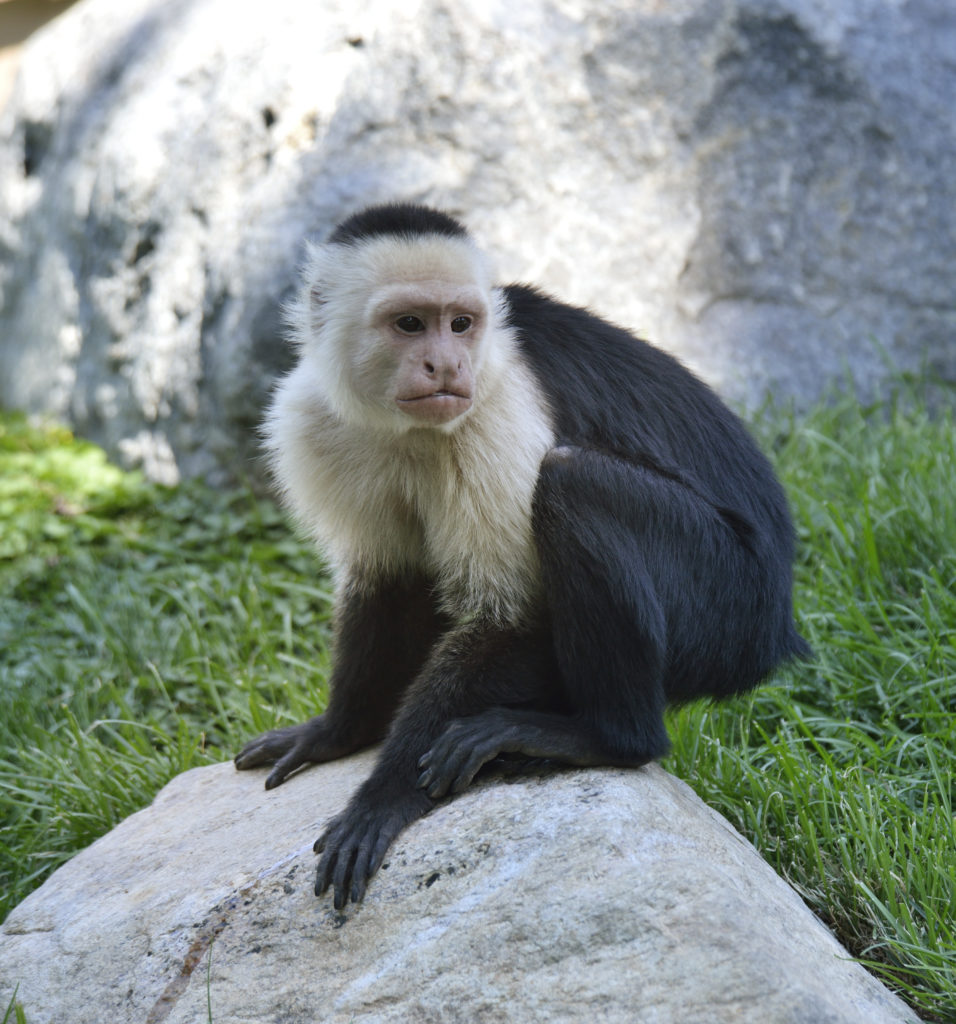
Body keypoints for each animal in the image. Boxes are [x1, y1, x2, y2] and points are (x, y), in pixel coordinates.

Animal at [235, 202, 810, 910]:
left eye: (460, 324)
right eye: (409, 325)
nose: (446, 365)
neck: (408, 427)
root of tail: (779, 625)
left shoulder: (495, 409)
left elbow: (519, 618)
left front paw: (382, 797)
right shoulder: (316, 421)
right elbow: (391, 584)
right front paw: (337, 731)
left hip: (730, 605)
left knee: (570, 482)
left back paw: (607, 738)